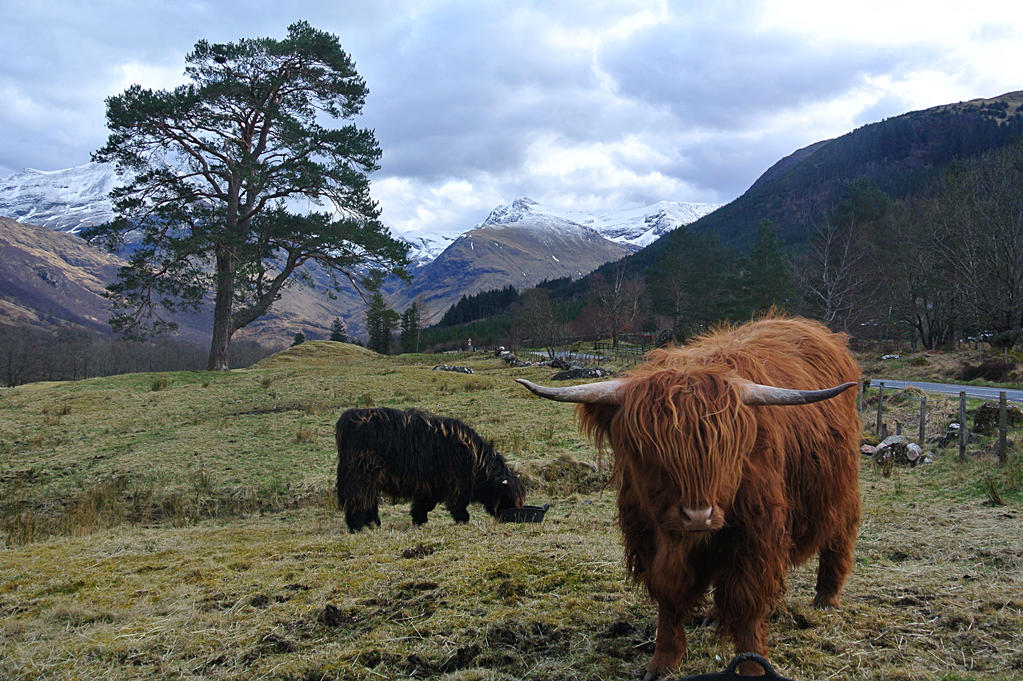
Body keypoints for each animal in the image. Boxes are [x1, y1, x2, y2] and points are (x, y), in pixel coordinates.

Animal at [335, 404, 527, 527]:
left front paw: (418, 521)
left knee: (369, 500)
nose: (516, 516)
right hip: (361, 474)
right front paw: (463, 519)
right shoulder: (455, 482)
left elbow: (423, 505)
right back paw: (357, 525)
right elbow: (457, 505)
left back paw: (373, 523)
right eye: (508, 498)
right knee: (358, 499)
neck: (475, 460)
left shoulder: (429, 485)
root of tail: (348, 419)